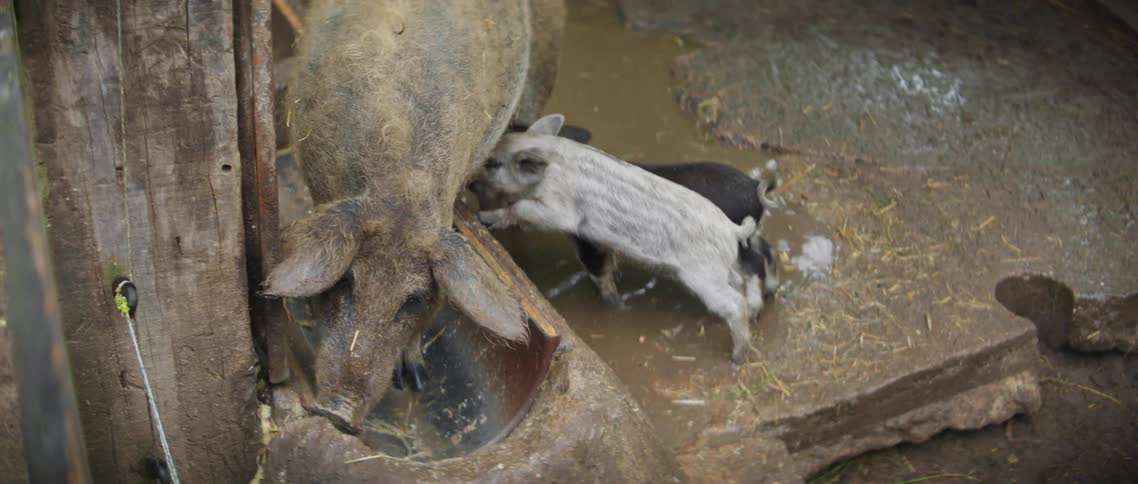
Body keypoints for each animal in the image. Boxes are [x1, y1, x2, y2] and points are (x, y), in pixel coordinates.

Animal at [476, 114, 765, 364]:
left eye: (493, 163)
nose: (472, 180)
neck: (550, 161)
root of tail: (732, 229)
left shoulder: (559, 211)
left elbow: (520, 208)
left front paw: (485, 217)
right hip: (719, 270)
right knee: (739, 282)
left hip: (703, 275)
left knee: (736, 303)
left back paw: (736, 359)